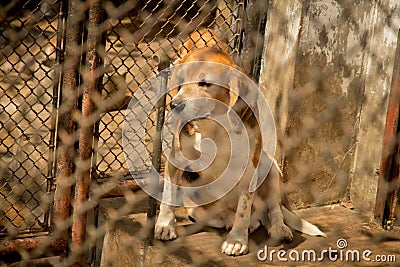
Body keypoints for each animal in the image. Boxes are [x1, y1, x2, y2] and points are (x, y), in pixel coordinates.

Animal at [153, 47, 324, 256]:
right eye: (181, 81)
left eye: (205, 83)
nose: (174, 106)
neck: (214, 126)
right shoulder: (175, 159)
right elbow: (168, 196)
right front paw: (165, 226)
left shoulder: (249, 169)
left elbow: (243, 210)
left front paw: (236, 240)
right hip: (196, 210)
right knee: (248, 218)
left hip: (271, 166)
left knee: (272, 210)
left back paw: (278, 228)